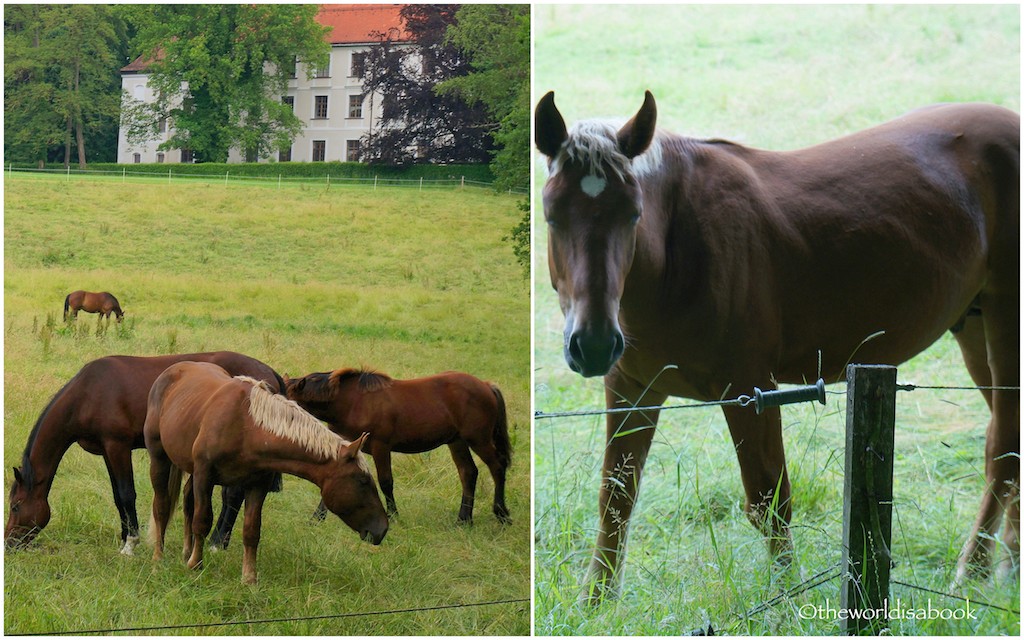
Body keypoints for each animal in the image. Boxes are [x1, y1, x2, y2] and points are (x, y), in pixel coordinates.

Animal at [4, 352, 284, 552]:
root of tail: (270, 373)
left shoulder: (118, 446)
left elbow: (127, 494)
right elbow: (117, 496)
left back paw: (216, 544)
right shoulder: (107, 451)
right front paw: (124, 536)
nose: (8, 544)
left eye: (16, 507)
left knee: (234, 496)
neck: (87, 394)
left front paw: (131, 543)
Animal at [142, 362, 385, 581]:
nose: (382, 529)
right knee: (162, 506)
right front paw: (196, 565)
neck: (246, 427)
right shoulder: (204, 476)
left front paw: (249, 578)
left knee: (186, 501)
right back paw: (158, 557)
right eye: (363, 480)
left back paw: (186, 551)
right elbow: (202, 520)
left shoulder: (257, 485)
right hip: (160, 458)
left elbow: (251, 530)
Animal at [284, 368, 512, 524]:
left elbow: (386, 482)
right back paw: (464, 519)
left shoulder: (381, 447)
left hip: (478, 439)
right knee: (468, 473)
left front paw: (393, 516)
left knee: (497, 467)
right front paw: (317, 518)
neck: (351, 403)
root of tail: (486, 385)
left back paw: (501, 513)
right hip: (457, 442)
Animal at [532, 92, 1019, 602]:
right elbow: (616, 496)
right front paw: (596, 601)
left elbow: (769, 501)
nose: (593, 345)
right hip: (974, 330)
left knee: (1003, 448)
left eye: (633, 213)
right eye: (552, 215)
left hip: (1005, 319)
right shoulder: (632, 388)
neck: (678, 253)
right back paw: (1008, 563)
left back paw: (976, 569)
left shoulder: (750, 391)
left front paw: (787, 597)